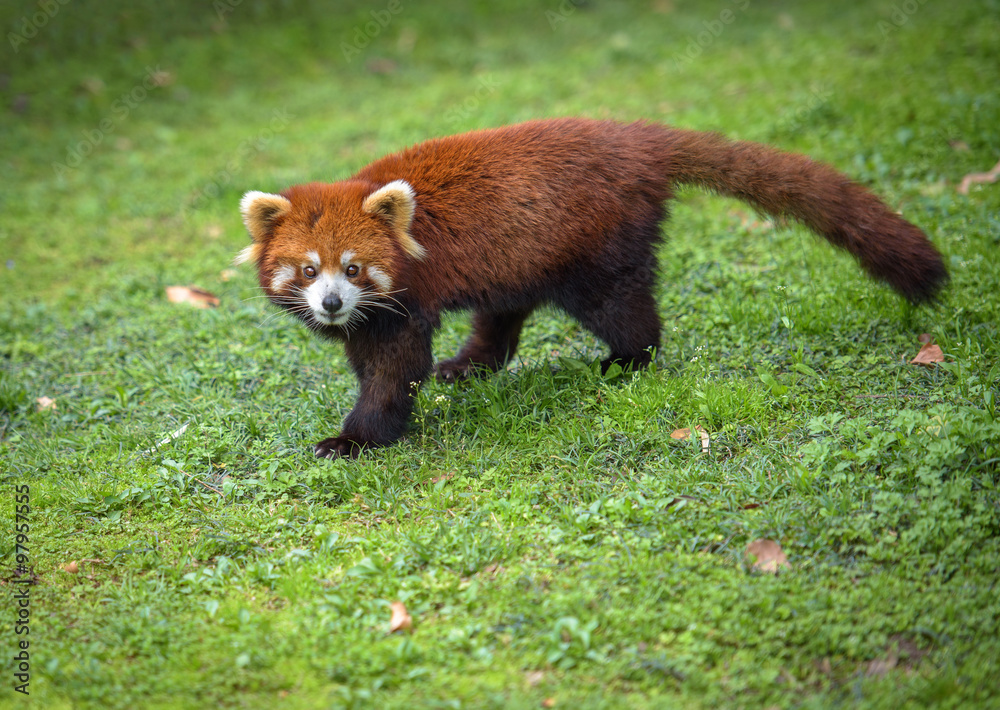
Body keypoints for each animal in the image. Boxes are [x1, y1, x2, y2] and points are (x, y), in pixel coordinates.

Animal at [234, 118, 944, 462]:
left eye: (354, 269)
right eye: (308, 271)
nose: (331, 304)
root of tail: (635, 137)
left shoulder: (402, 302)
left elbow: (391, 372)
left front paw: (354, 439)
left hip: (595, 245)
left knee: (620, 307)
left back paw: (626, 359)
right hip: (521, 252)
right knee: (505, 310)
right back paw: (471, 364)